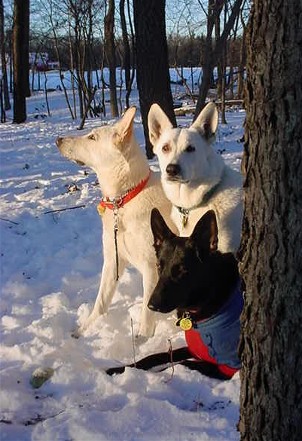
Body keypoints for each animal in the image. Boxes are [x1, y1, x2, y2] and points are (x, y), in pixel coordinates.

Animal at [57, 107, 175, 336]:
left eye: (92, 137)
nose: (58, 139)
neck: (124, 200)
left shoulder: (151, 267)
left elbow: (147, 314)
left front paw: (143, 340)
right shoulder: (113, 260)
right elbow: (100, 303)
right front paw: (83, 331)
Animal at [107, 209, 243, 378]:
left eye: (182, 270)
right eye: (159, 266)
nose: (152, 306)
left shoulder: (227, 367)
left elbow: (179, 364)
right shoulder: (194, 350)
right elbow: (153, 357)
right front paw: (119, 369)